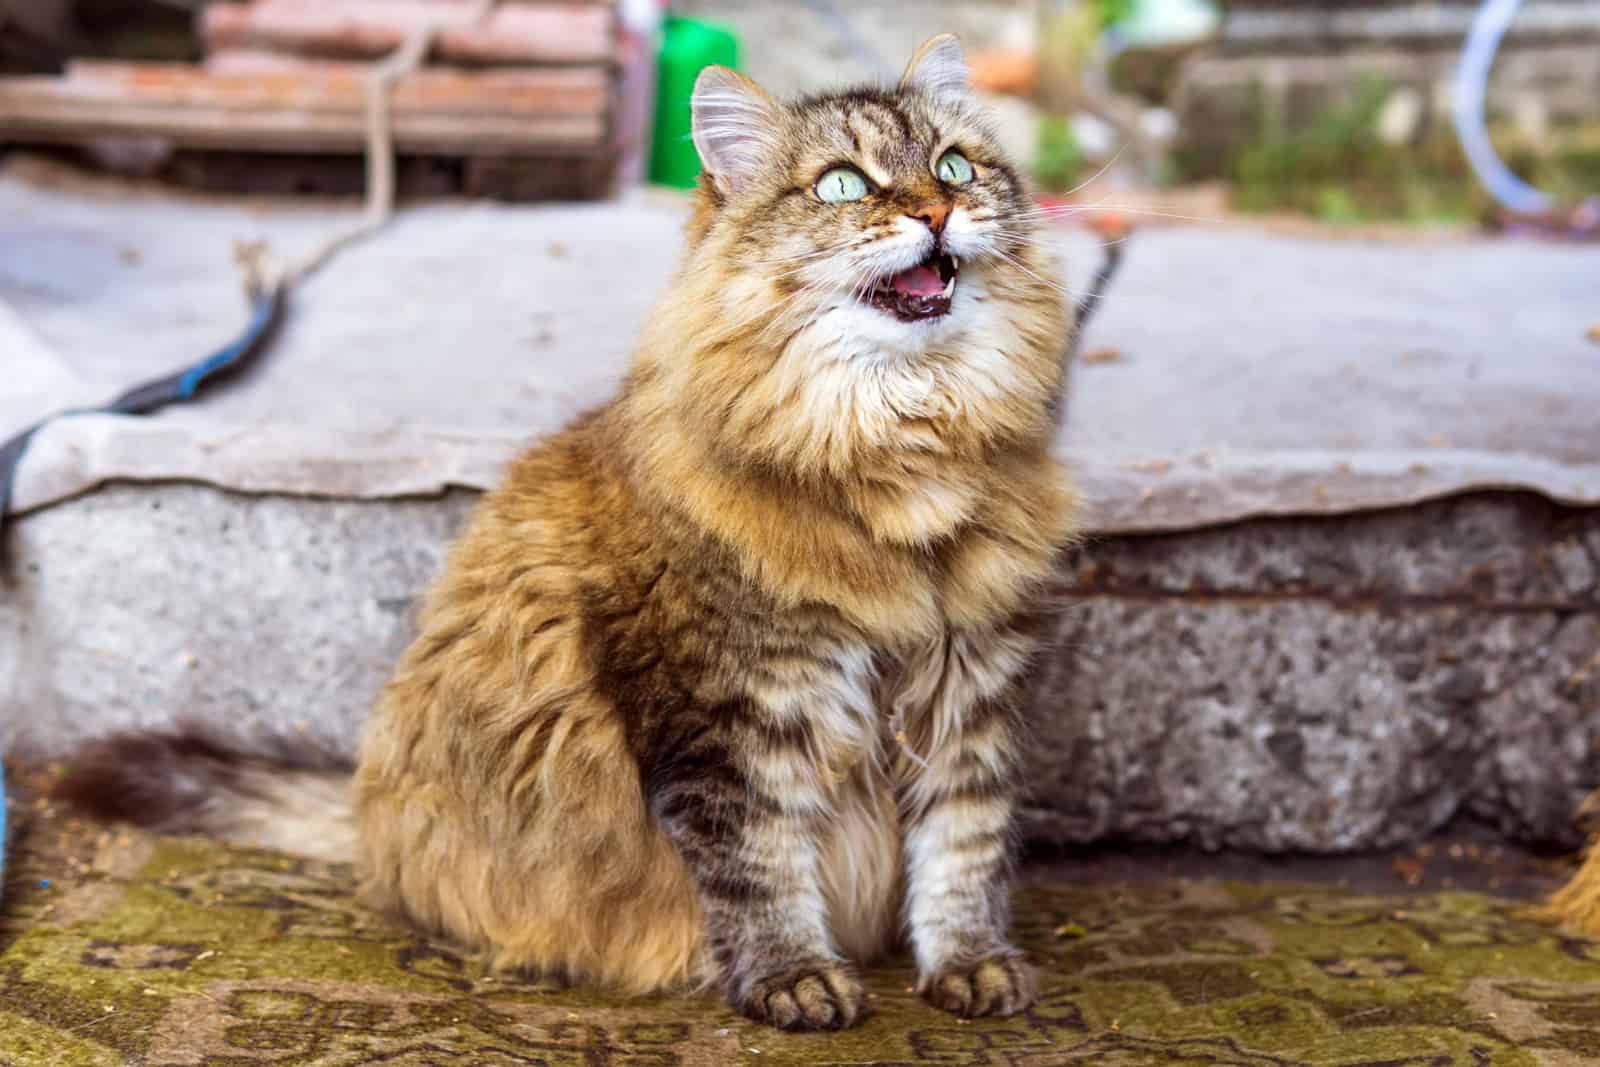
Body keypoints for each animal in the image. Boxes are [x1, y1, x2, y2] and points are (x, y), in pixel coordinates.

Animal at [65, 37, 1088, 1030]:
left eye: (953, 166)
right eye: (843, 185)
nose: (939, 210)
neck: (900, 451)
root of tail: (367, 811)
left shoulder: (967, 689)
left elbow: (962, 851)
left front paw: (970, 966)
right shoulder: (729, 717)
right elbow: (761, 869)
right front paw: (793, 979)